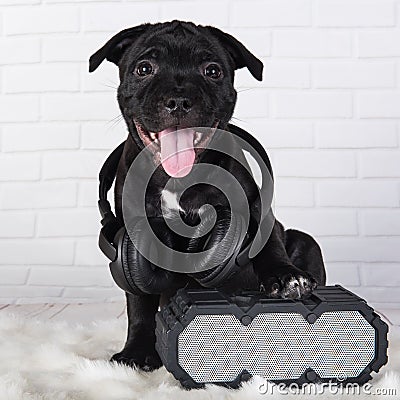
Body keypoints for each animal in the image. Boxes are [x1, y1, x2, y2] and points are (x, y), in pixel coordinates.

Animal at [90, 20, 324, 372]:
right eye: (144, 68)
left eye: (212, 71)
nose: (178, 99)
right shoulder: (131, 233)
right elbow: (138, 301)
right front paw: (137, 351)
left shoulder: (254, 207)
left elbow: (266, 243)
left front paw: (286, 277)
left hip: (305, 241)